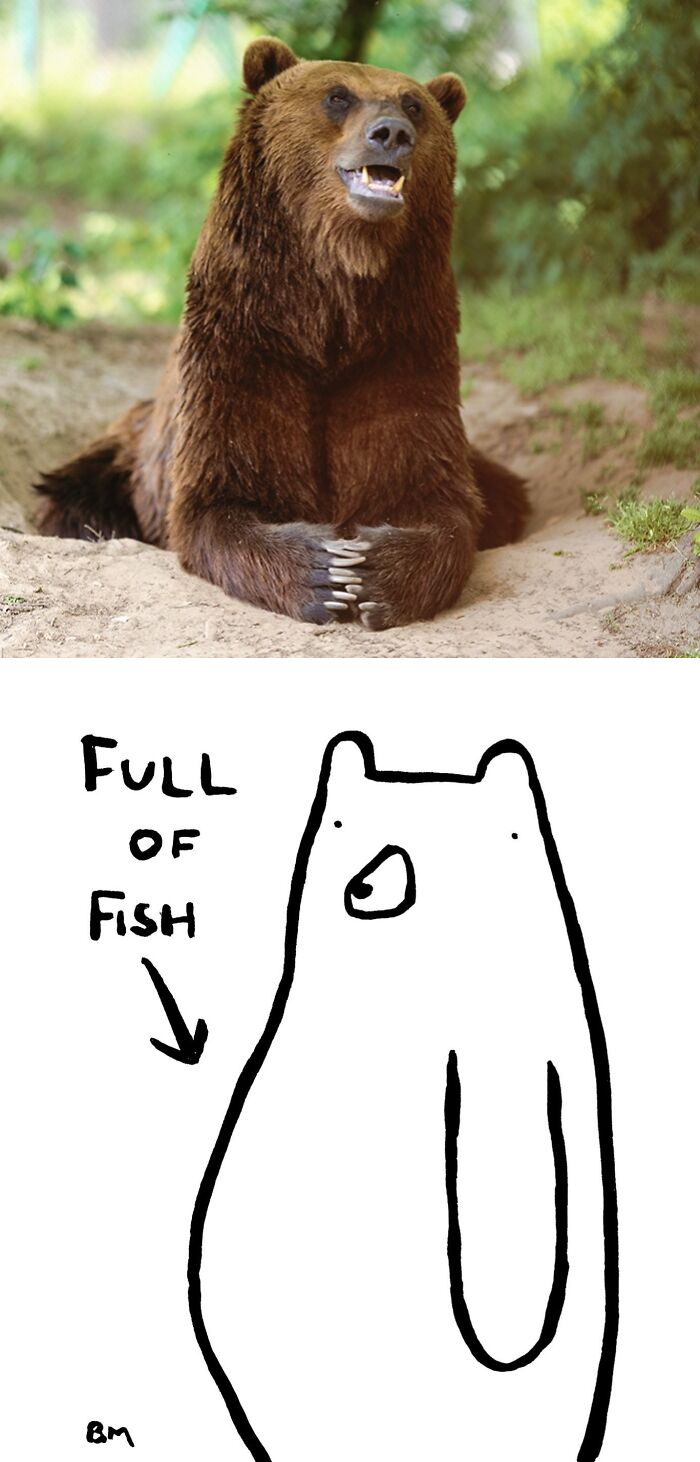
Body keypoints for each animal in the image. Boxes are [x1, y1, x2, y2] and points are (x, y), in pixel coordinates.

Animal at [34, 39, 529, 631]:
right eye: (337, 96)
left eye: (414, 105)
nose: (391, 132)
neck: (329, 309)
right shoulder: (245, 344)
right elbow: (216, 498)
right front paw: (322, 574)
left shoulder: (401, 345)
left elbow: (435, 496)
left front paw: (373, 574)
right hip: (120, 457)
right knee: (69, 497)